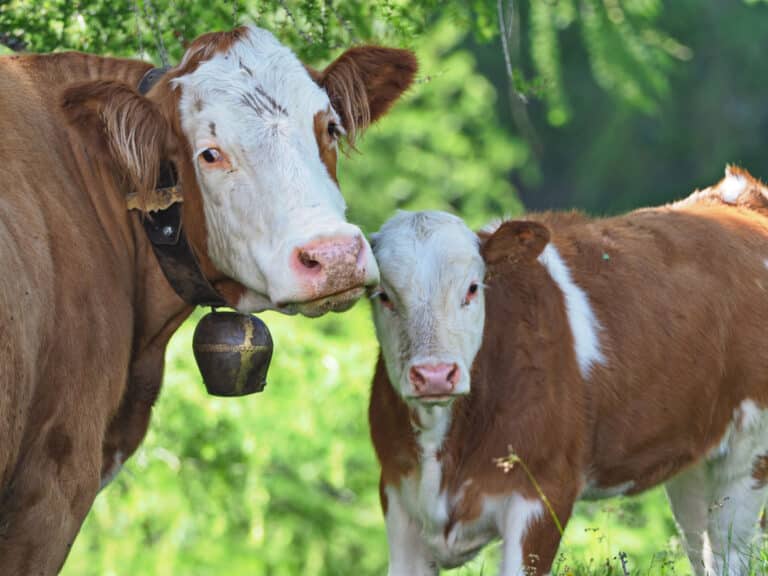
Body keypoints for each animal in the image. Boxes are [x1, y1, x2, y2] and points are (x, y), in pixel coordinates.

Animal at [368, 168, 768, 576]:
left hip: (748, 457)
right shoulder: (398, 496)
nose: (434, 374)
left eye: (472, 288)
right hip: (694, 460)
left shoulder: (543, 492)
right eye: (383, 295)